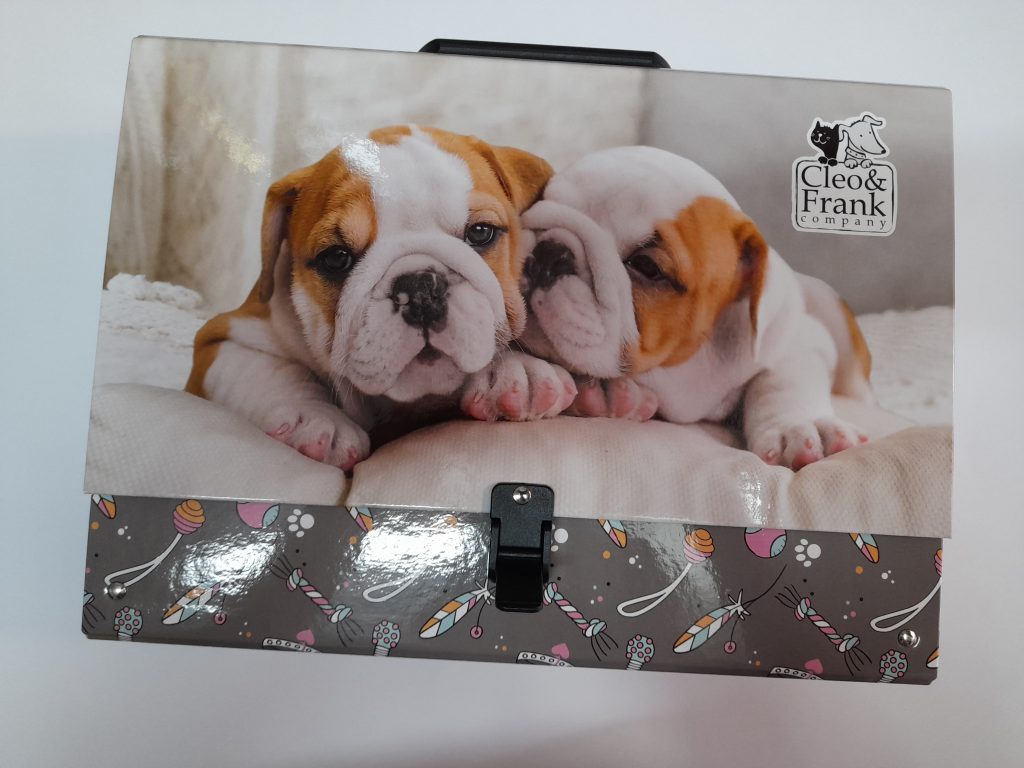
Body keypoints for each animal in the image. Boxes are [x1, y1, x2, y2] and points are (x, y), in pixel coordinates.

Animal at [186, 126, 575, 470]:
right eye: (336, 258)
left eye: (481, 232)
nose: (420, 288)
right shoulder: (222, 340)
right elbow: (271, 373)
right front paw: (316, 419)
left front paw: (518, 371)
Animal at [519, 145, 873, 469]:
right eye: (538, 202)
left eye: (646, 266)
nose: (550, 253)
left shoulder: (800, 340)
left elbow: (784, 379)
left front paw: (801, 425)